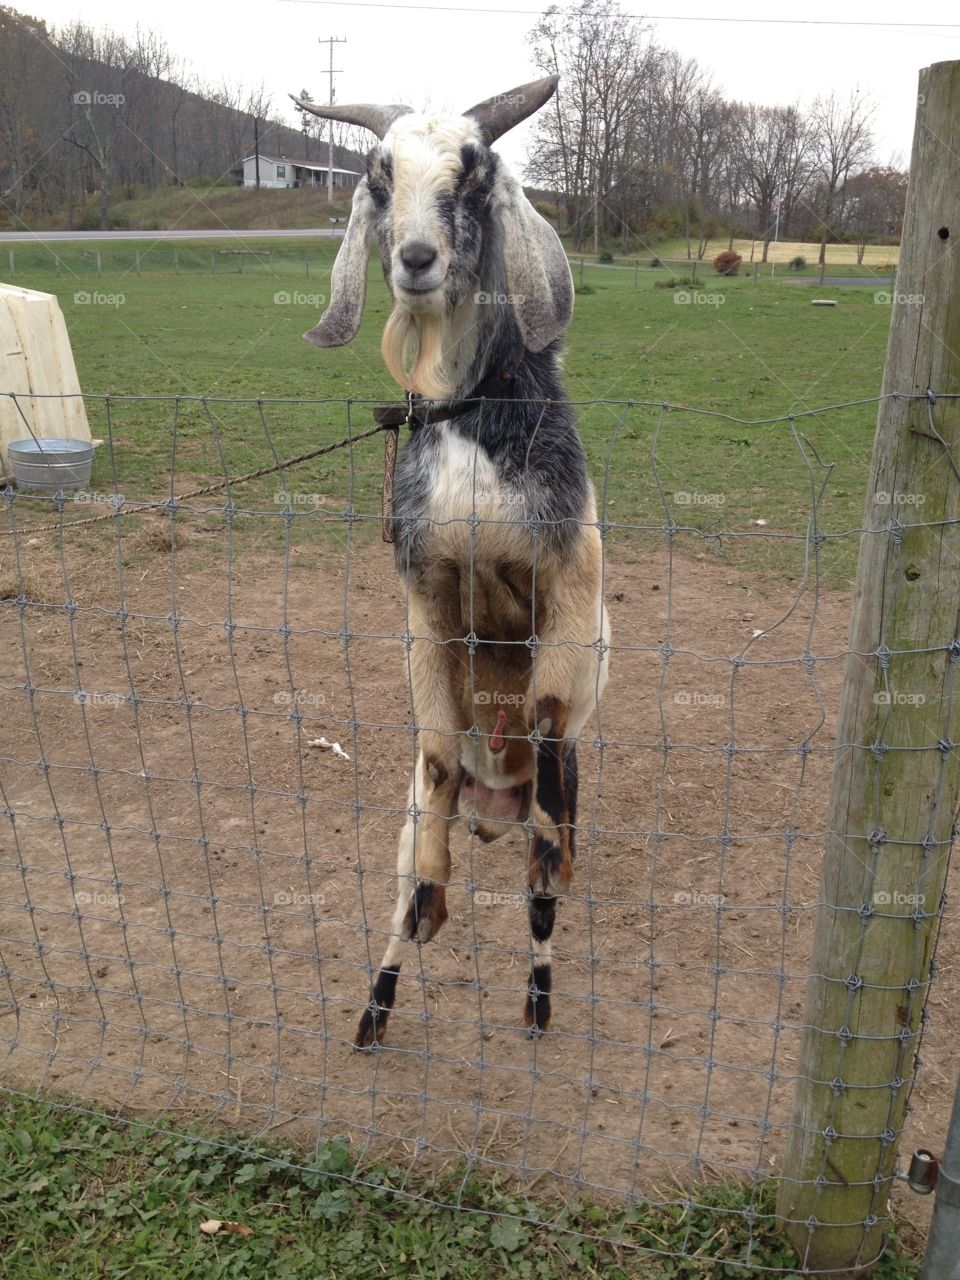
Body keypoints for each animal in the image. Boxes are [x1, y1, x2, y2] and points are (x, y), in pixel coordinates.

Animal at [292, 76, 610, 1048]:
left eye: (474, 175)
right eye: (378, 175)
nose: (417, 259)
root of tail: (492, 806)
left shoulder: (570, 586)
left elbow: (547, 716)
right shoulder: (425, 599)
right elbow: (432, 753)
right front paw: (432, 906)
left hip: (565, 785)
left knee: (541, 906)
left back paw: (539, 1004)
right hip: (405, 816)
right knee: (399, 898)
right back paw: (373, 1012)